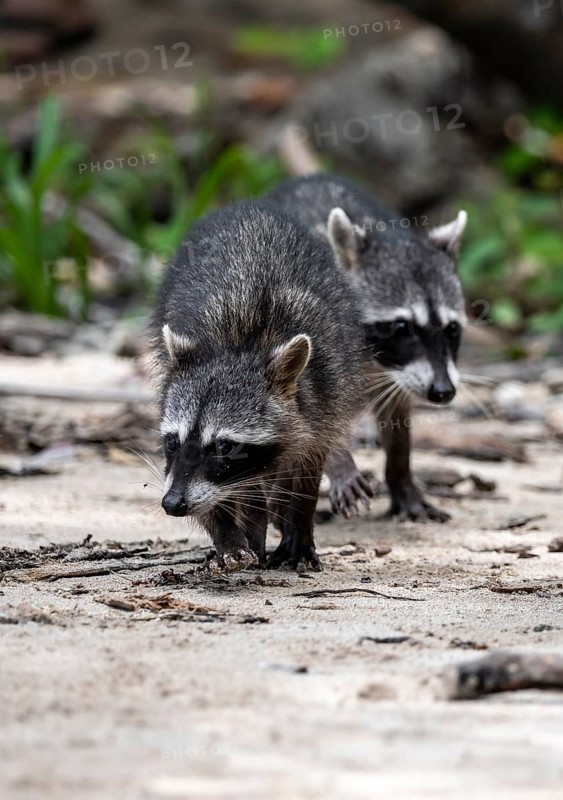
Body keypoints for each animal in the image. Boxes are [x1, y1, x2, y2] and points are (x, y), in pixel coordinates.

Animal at [151, 199, 364, 568]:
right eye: (173, 442)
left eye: (224, 446)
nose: (173, 504)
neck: (243, 343)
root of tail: (252, 209)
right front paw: (227, 535)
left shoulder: (323, 394)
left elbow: (308, 469)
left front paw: (299, 525)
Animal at [266, 174, 467, 523]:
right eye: (401, 327)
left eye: (451, 329)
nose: (443, 392)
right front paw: (340, 464)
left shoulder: (402, 375)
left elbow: (398, 425)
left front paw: (402, 480)